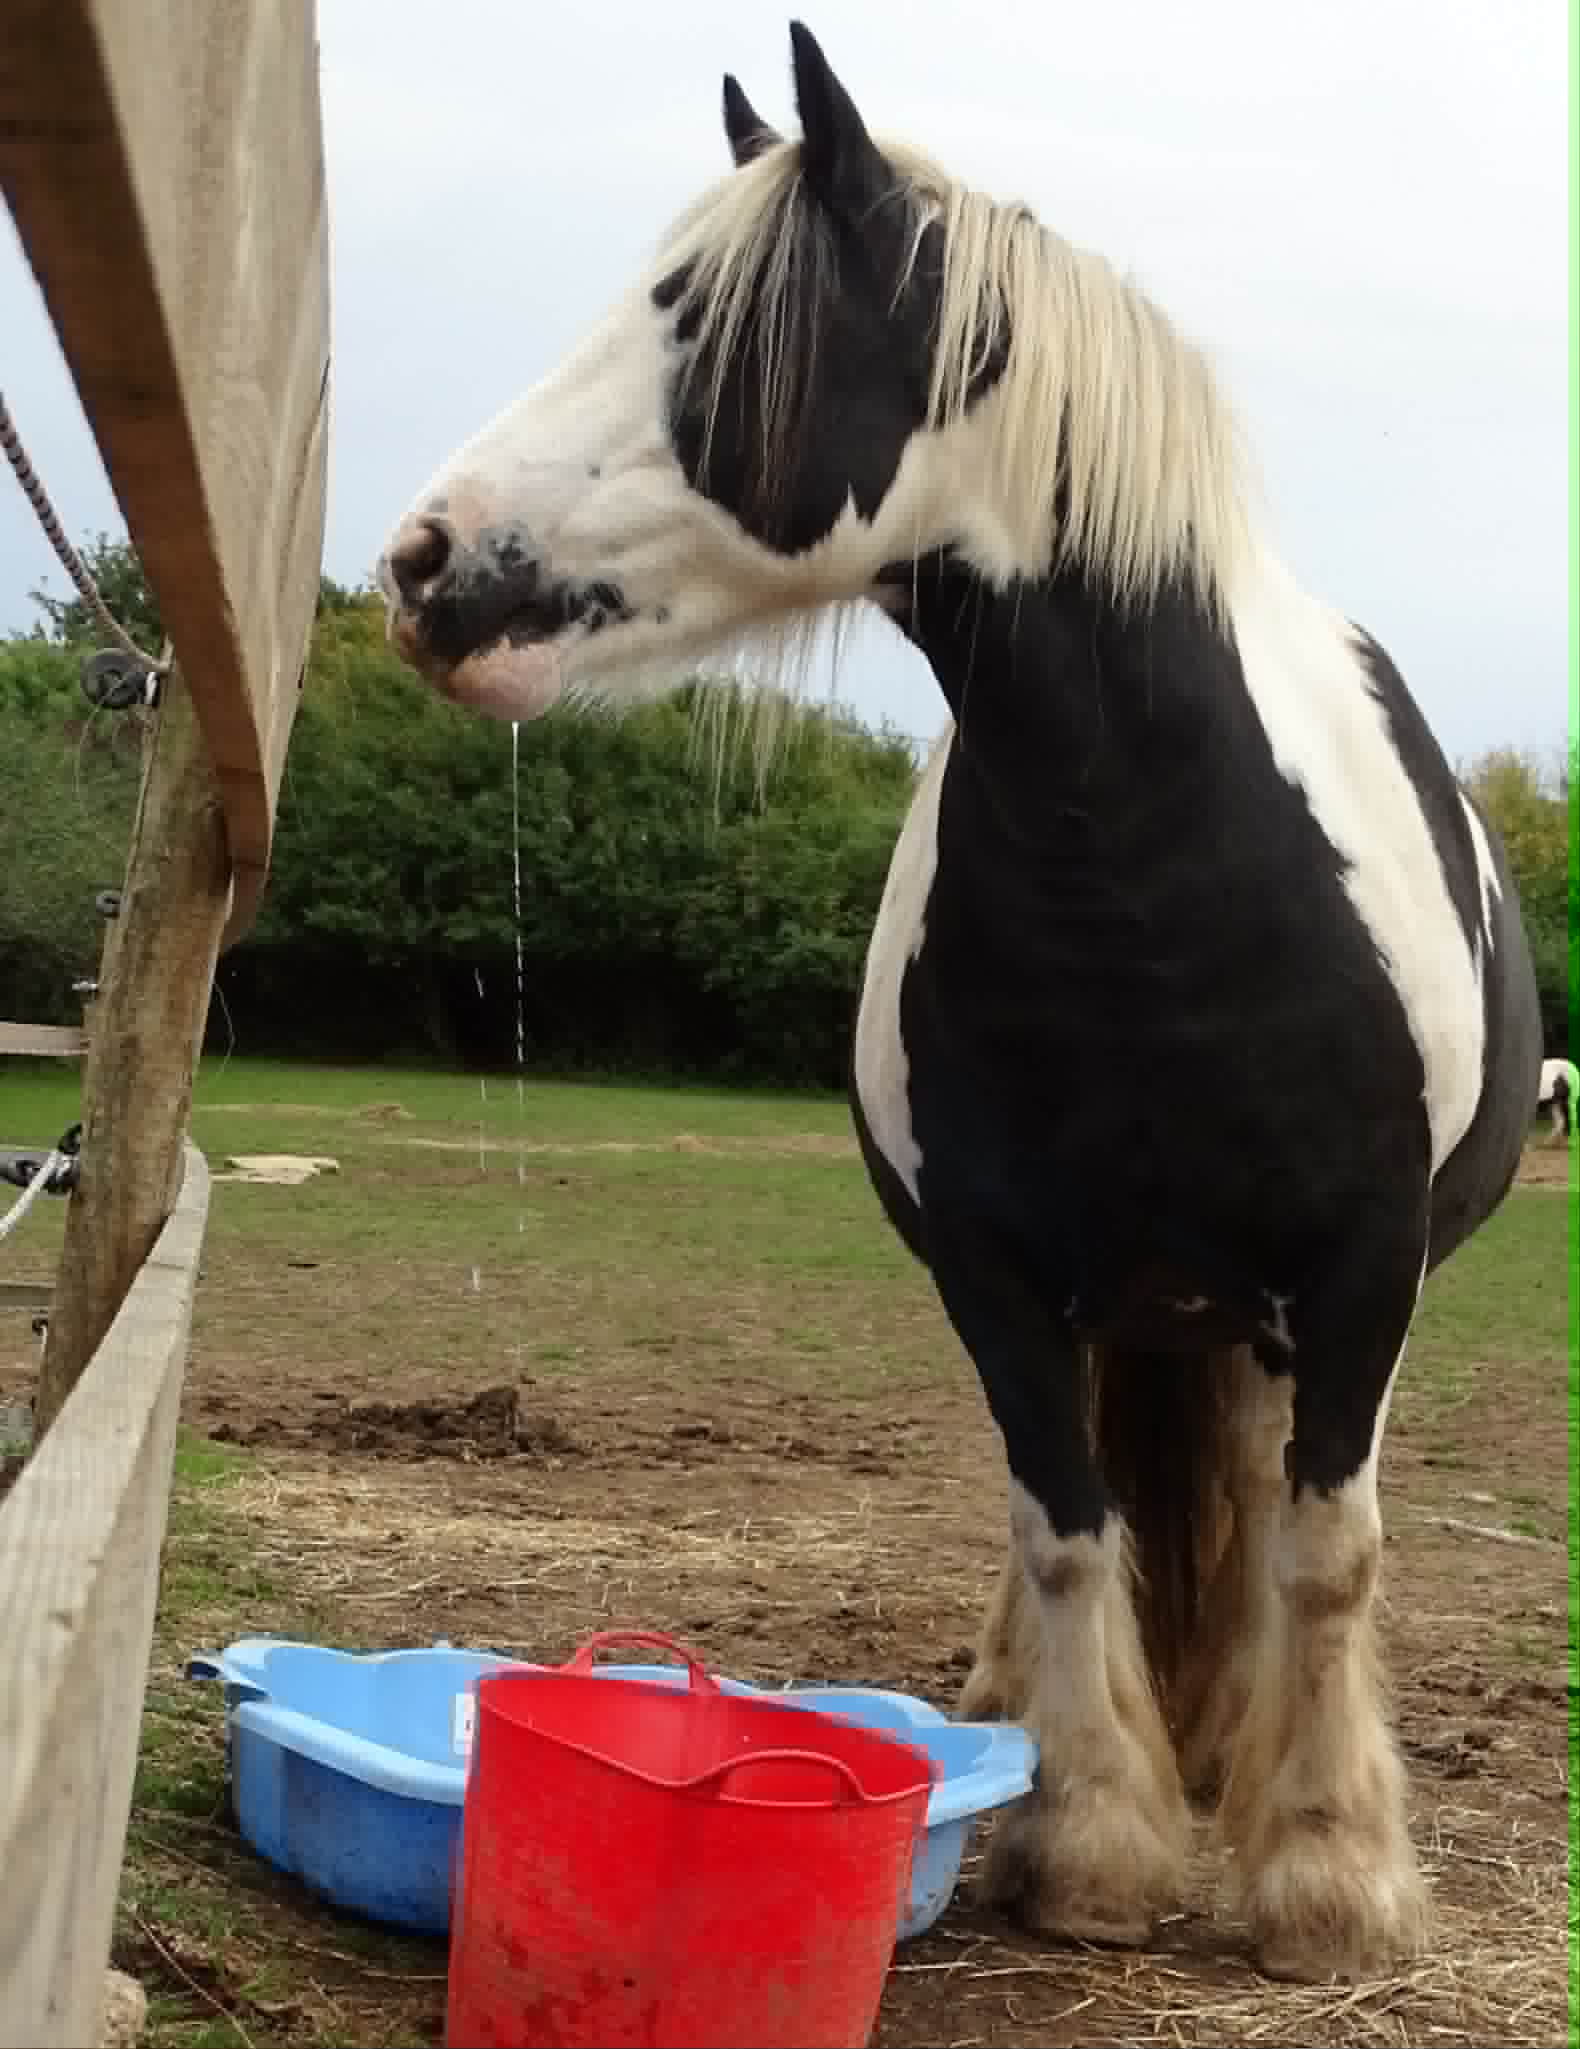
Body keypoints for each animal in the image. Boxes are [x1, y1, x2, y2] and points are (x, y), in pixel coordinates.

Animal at [375, 22, 1543, 1982]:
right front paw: (1087, 1844)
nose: (422, 562)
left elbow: (1327, 1554)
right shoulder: (998, 1276)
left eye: (707, 320)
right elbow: (1064, 1533)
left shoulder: (1360, 1279)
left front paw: (1323, 1876)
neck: (1158, 868)